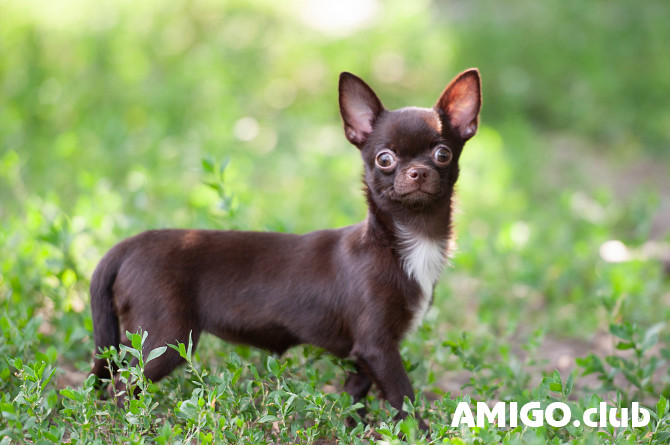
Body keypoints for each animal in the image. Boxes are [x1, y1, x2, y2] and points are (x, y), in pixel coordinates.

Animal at [92, 68, 484, 426]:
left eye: (443, 154)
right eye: (384, 159)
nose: (418, 172)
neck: (406, 240)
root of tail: (128, 245)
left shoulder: (364, 353)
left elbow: (354, 395)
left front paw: (353, 428)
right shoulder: (378, 346)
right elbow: (404, 398)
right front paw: (420, 432)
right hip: (163, 339)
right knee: (123, 387)